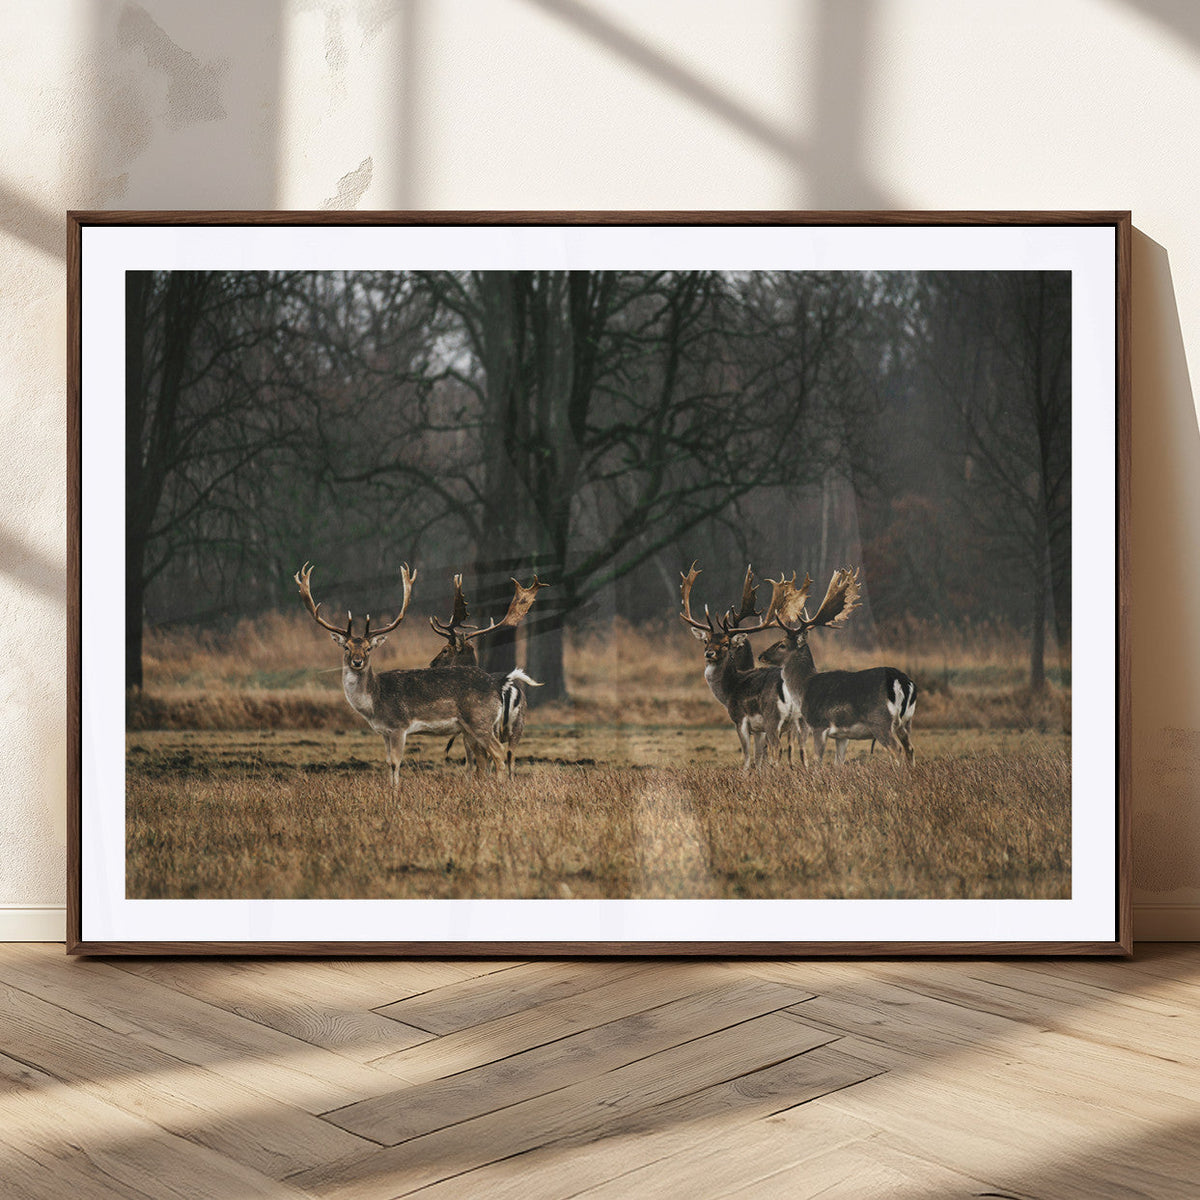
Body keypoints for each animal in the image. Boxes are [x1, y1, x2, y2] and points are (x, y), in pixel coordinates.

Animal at [294, 562, 509, 789]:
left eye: (369, 648)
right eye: (346, 647)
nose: (357, 662)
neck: (374, 703)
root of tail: (497, 689)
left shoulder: (399, 726)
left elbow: (396, 762)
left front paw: (396, 791)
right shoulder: (384, 732)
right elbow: (388, 762)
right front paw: (390, 788)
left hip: (480, 719)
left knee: (499, 752)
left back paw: (500, 786)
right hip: (470, 728)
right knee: (484, 757)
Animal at [428, 572, 547, 777]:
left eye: (445, 650)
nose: (432, 664)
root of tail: (507, 685)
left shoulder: (467, 732)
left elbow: (473, 762)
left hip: (487, 726)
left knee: (492, 757)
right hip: (519, 725)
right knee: (511, 759)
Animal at [679, 562, 790, 771]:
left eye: (725, 643)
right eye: (705, 641)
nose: (709, 654)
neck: (729, 689)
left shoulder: (741, 718)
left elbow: (748, 758)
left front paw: (745, 774)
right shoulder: (759, 729)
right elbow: (759, 758)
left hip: (773, 718)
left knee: (778, 751)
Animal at [757, 568, 917, 767]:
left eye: (782, 645)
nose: (761, 655)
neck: (804, 688)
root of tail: (902, 681)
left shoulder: (819, 724)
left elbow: (817, 760)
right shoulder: (842, 735)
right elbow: (838, 763)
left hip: (880, 720)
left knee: (896, 750)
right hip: (907, 721)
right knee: (910, 749)